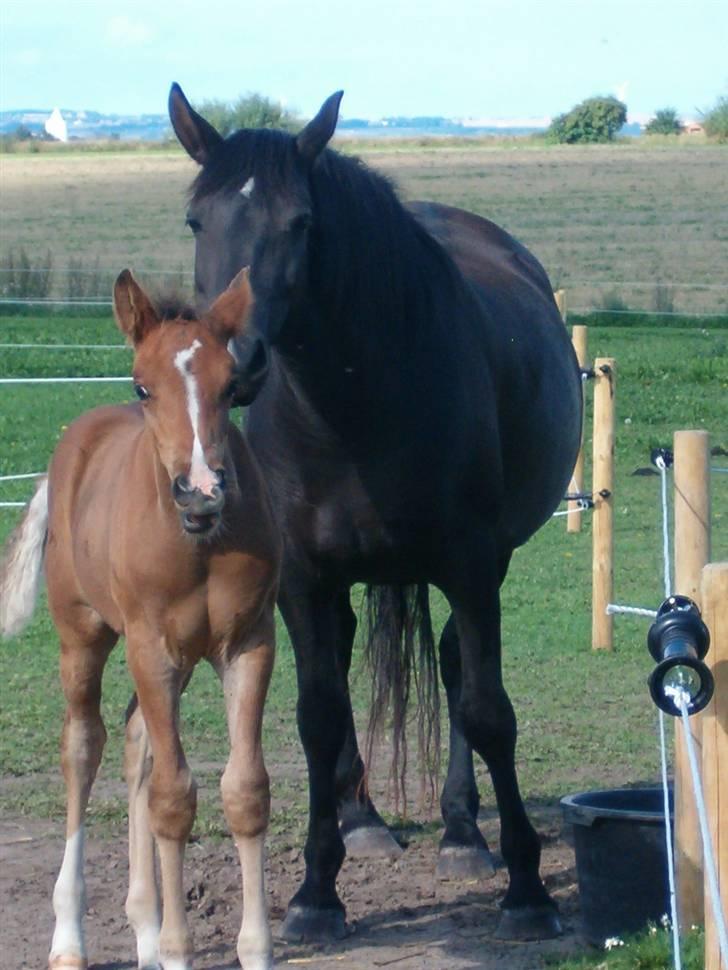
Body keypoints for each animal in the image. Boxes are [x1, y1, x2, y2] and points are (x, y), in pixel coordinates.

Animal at [0, 266, 280, 968]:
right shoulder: (151, 647)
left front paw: (251, 948)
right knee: (84, 746)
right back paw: (70, 938)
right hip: (85, 636)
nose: (201, 492)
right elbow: (174, 800)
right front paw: (179, 950)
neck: (198, 543)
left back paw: (145, 929)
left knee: (135, 743)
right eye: (141, 386)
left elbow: (243, 791)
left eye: (231, 386)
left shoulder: (248, 644)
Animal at [169, 85, 580, 944]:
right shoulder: (301, 581)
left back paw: (461, 830)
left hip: (484, 565)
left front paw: (529, 887)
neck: (350, 411)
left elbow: (488, 711)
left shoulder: (470, 566)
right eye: (197, 220)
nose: (235, 361)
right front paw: (315, 894)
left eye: (301, 223)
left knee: (456, 668)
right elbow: (317, 718)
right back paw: (362, 820)